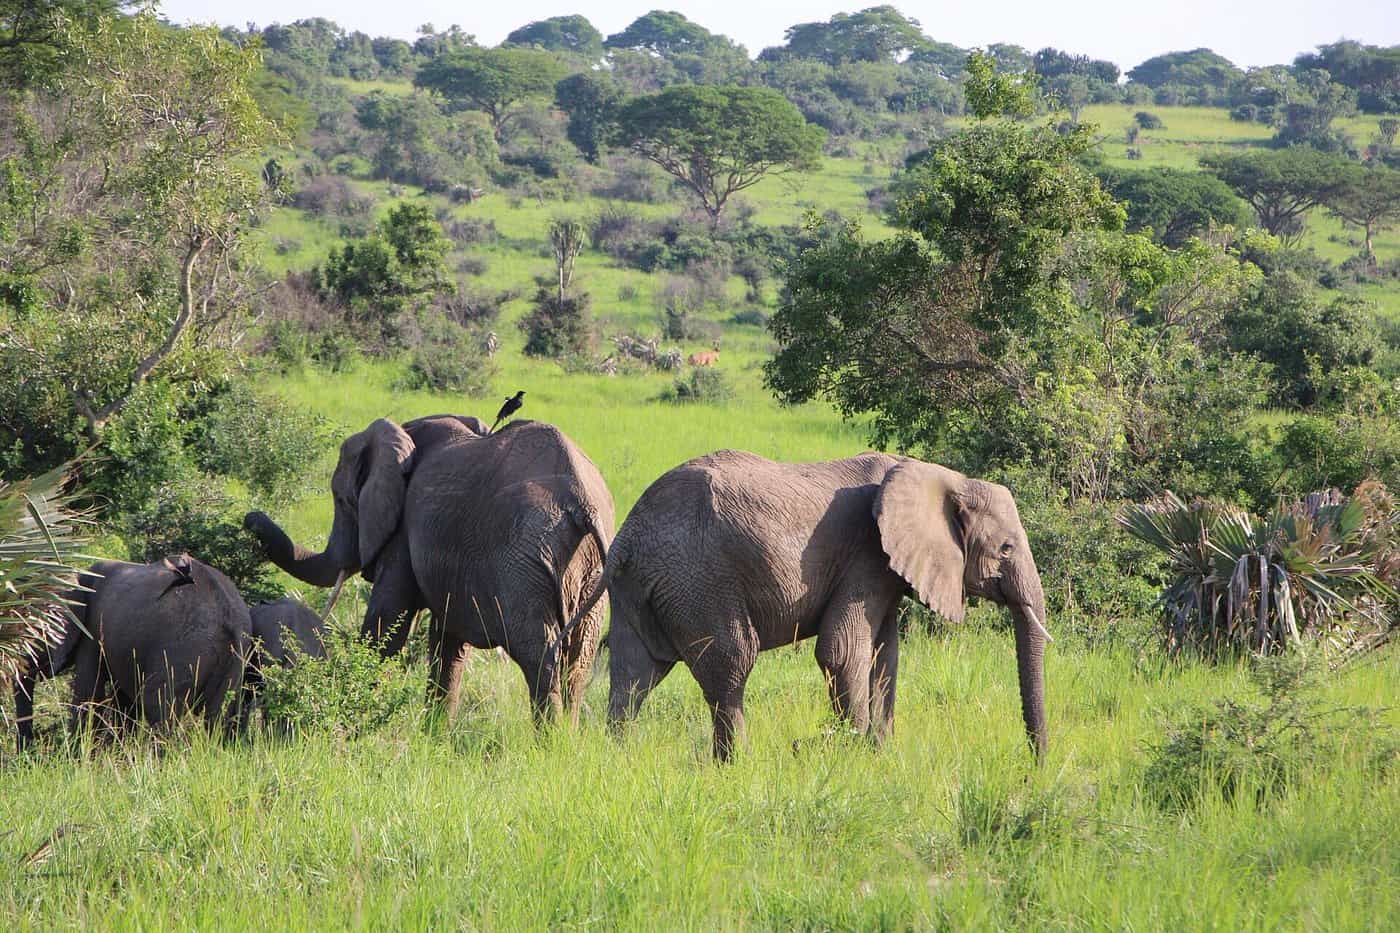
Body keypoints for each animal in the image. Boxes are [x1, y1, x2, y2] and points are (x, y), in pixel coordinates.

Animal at [13, 555, 253, 750]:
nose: (28, 757)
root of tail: (227, 616)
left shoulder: (93, 632)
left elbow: (89, 695)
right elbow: (124, 702)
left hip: (184, 649)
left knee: (158, 708)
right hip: (235, 658)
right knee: (217, 716)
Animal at [244, 414, 615, 722]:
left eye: (341, 500)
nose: (251, 519)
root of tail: (581, 502)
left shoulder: (403, 531)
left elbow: (387, 624)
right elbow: (448, 644)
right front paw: (434, 739)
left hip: (524, 561)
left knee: (540, 657)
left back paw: (550, 745)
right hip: (591, 571)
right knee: (577, 662)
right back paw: (565, 742)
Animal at [563, 450, 1051, 761]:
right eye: (1006, 548)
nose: (1035, 764)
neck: (939, 476)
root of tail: (626, 537)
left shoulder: (886, 569)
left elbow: (885, 655)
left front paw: (880, 752)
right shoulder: (866, 555)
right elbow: (841, 650)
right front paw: (850, 750)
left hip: (640, 588)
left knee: (634, 675)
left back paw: (621, 759)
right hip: (697, 580)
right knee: (731, 664)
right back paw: (738, 765)